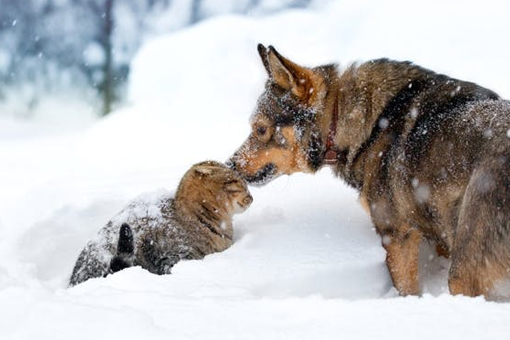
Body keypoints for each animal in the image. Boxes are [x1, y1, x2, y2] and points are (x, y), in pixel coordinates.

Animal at [228, 43, 510, 298]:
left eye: (260, 129)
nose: (230, 164)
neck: (368, 124)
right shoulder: (436, 232)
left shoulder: (396, 236)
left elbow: (407, 290)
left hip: (463, 271)